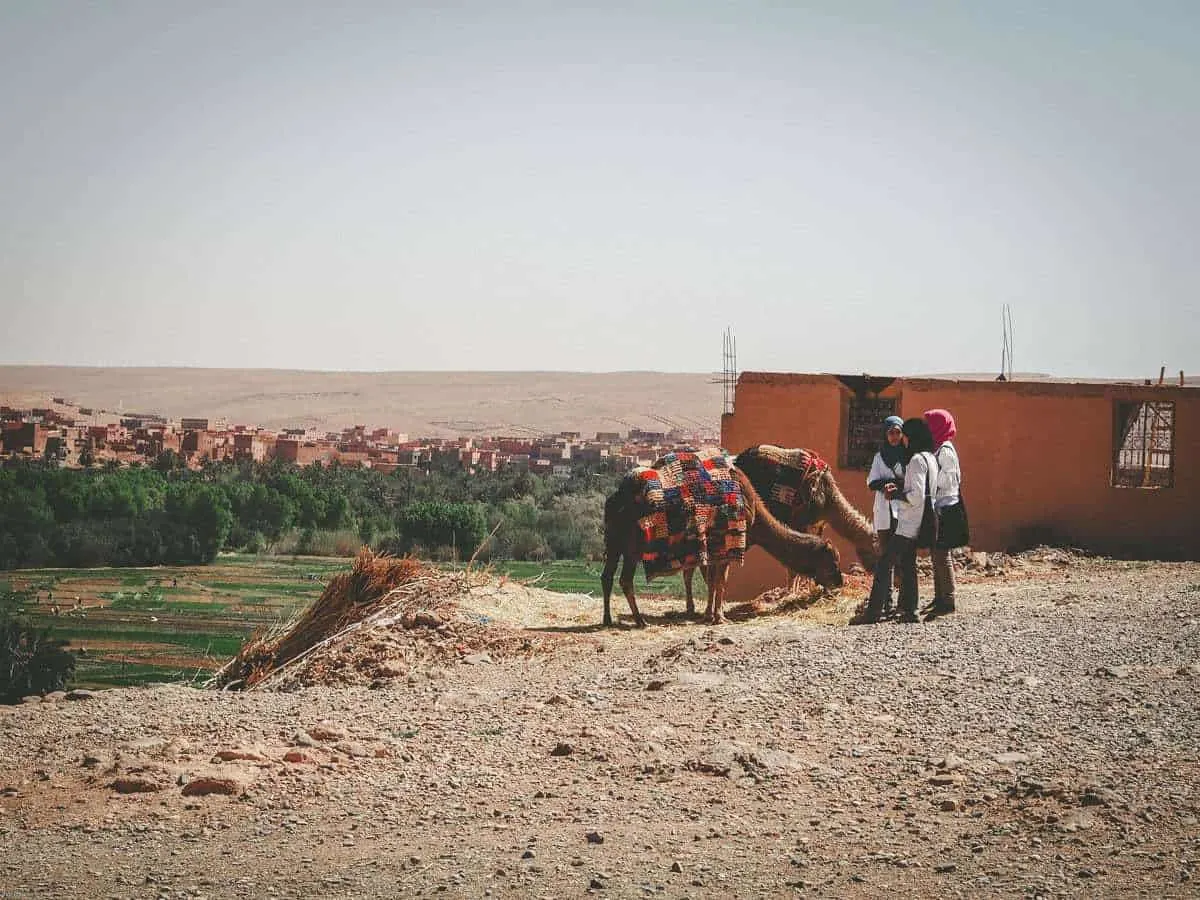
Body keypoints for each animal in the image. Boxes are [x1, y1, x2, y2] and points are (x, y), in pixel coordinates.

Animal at [600, 465, 844, 628]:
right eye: (832, 560)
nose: (839, 581)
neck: (754, 513)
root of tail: (616, 499)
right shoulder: (729, 543)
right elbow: (719, 580)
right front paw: (719, 616)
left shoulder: (716, 547)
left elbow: (713, 580)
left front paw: (709, 614)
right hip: (631, 546)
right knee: (625, 579)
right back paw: (640, 621)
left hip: (614, 541)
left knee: (607, 576)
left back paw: (608, 619)